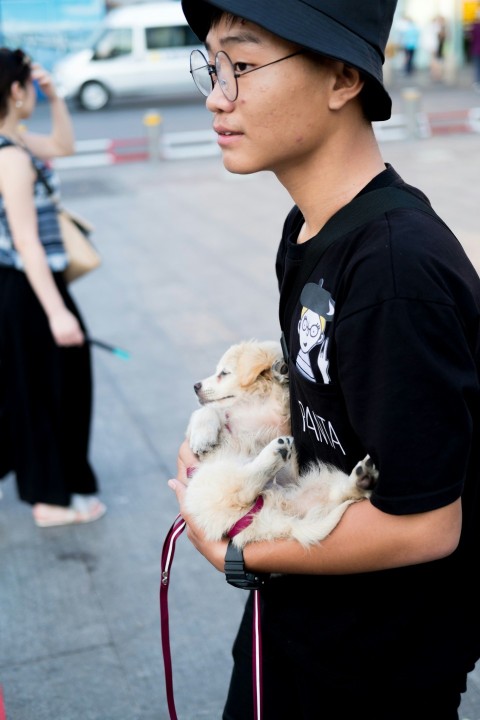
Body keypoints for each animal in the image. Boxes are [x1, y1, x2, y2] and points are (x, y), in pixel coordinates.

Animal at [184, 340, 376, 548]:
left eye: (224, 373)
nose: (195, 386)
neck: (257, 399)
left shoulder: (284, 419)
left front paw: (281, 374)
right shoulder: (230, 419)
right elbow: (207, 411)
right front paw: (202, 438)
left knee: (244, 488)